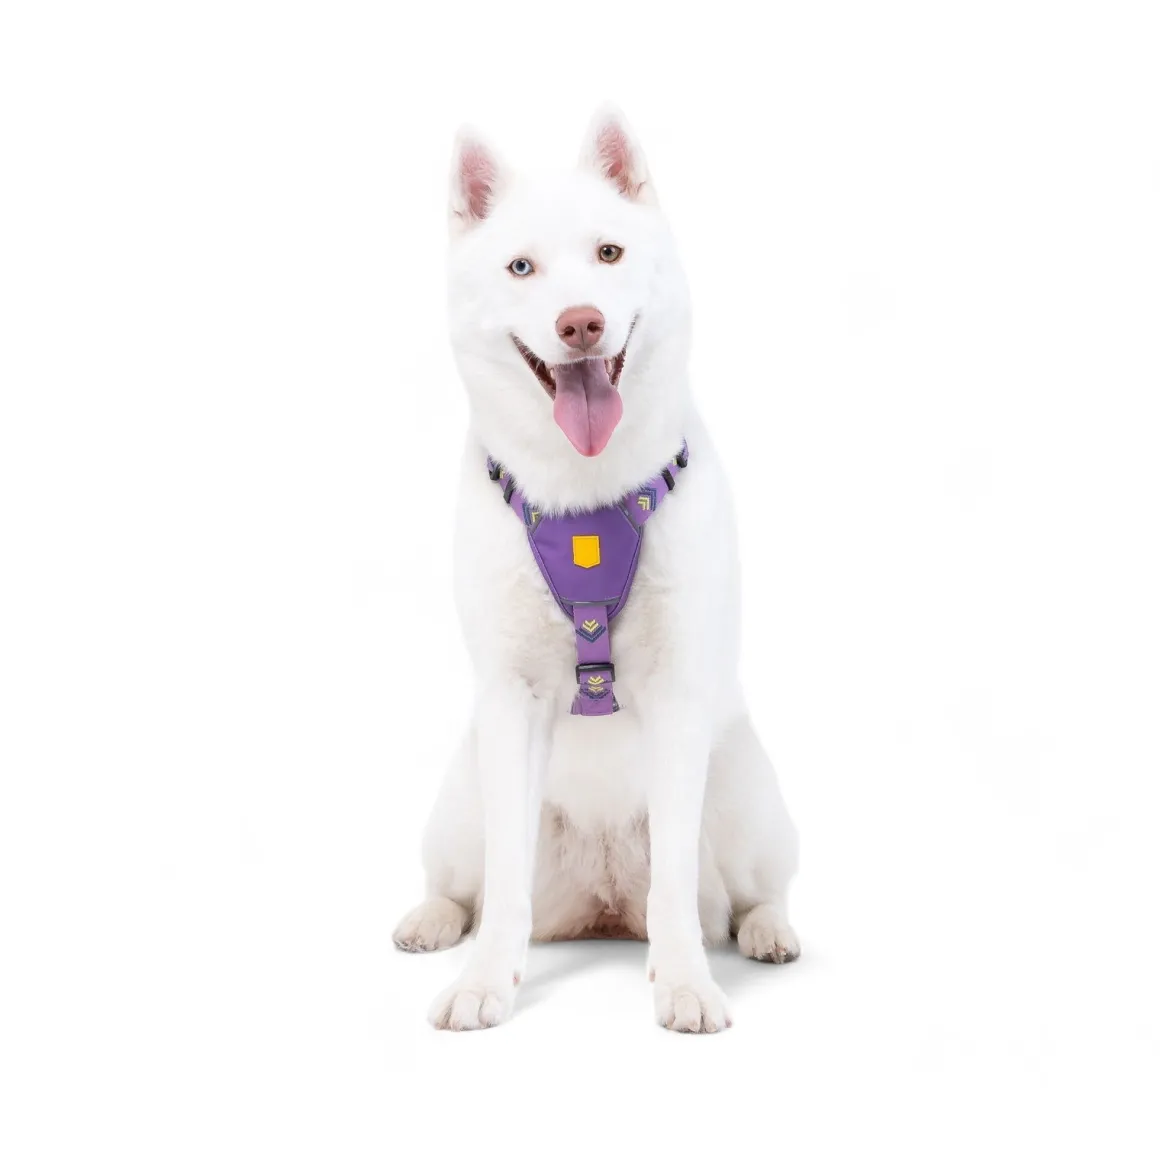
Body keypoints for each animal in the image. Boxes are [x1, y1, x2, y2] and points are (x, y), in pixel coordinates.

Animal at [392, 108, 800, 1032]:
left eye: (609, 253)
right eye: (521, 267)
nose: (580, 322)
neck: (583, 499)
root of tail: (603, 902)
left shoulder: (679, 696)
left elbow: (677, 887)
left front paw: (685, 981)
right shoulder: (511, 704)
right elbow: (504, 884)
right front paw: (484, 981)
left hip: (750, 799)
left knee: (748, 891)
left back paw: (766, 931)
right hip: (459, 802)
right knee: (462, 882)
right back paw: (431, 921)